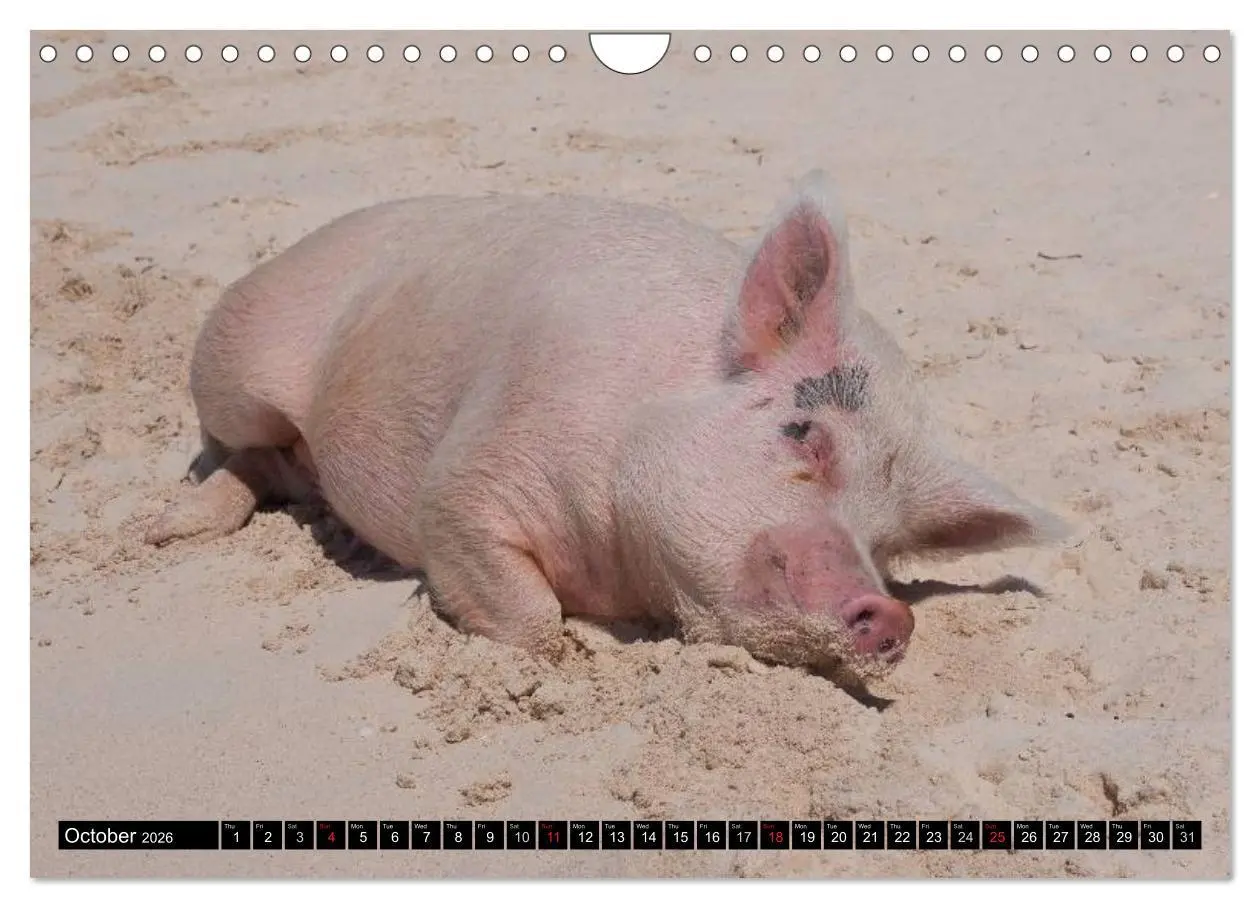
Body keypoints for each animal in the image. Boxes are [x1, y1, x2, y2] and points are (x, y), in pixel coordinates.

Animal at [145, 172, 1066, 684]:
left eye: (890, 542)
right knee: (239, 447)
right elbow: (529, 621)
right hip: (234, 360)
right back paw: (160, 533)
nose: (895, 614)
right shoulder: (470, 475)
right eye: (804, 434)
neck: (623, 568)